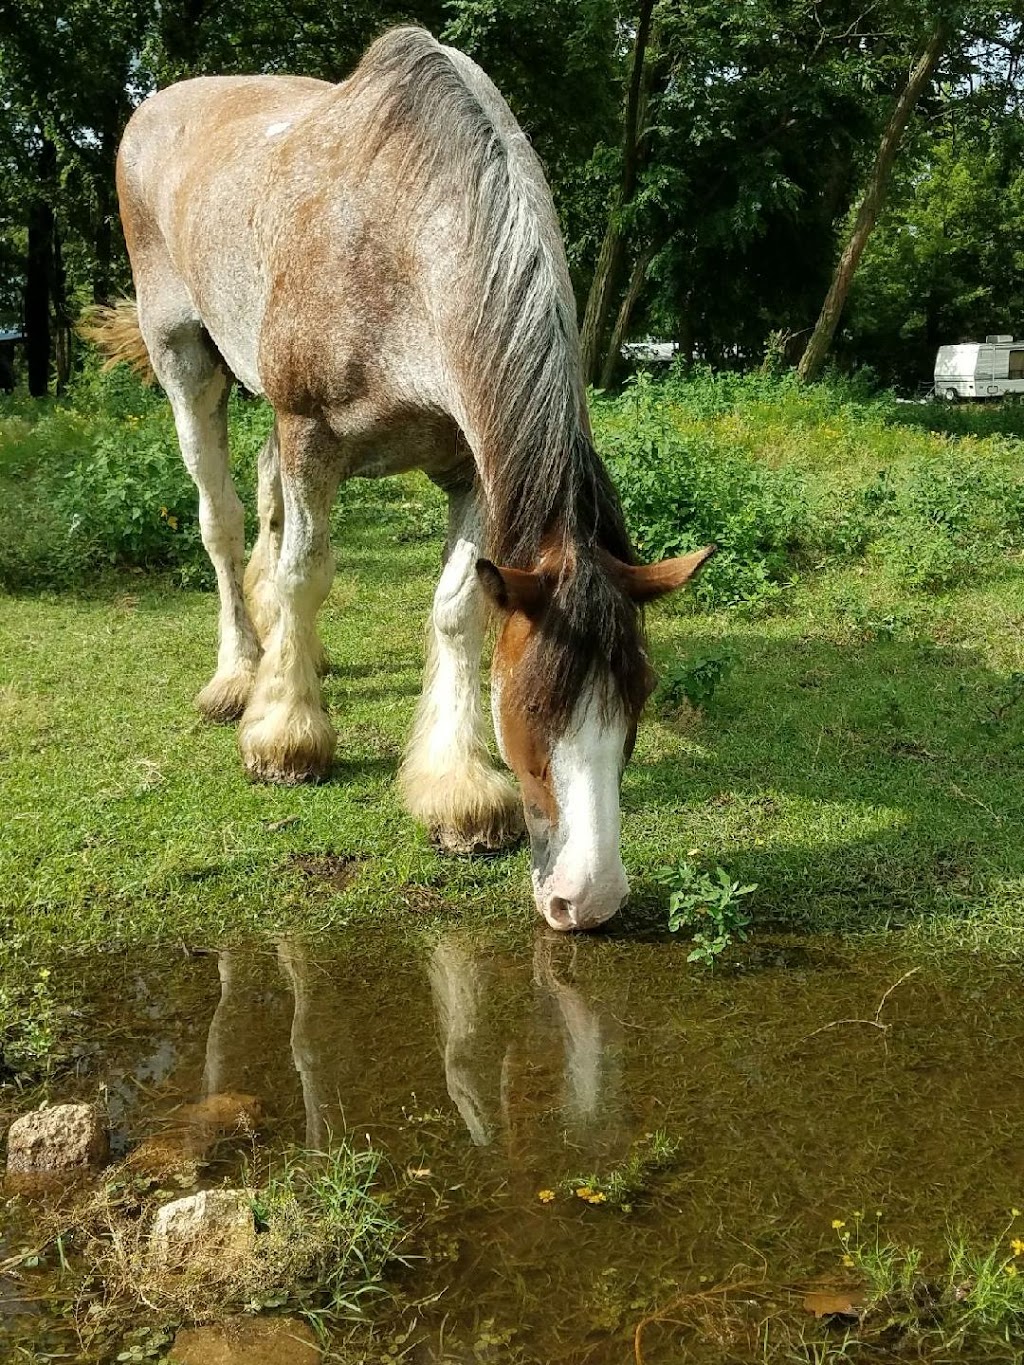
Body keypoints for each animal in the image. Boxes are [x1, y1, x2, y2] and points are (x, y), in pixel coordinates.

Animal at [86, 26, 715, 933]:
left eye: (637, 704)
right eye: (528, 712)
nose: (588, 899)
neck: (401, 244)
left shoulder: (472, 472)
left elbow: (455, 609)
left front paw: (456, 791)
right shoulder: (311, 433)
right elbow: (307, 572)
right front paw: (287, 735)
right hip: (187, 364)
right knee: (223, 520)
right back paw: (241, 672)